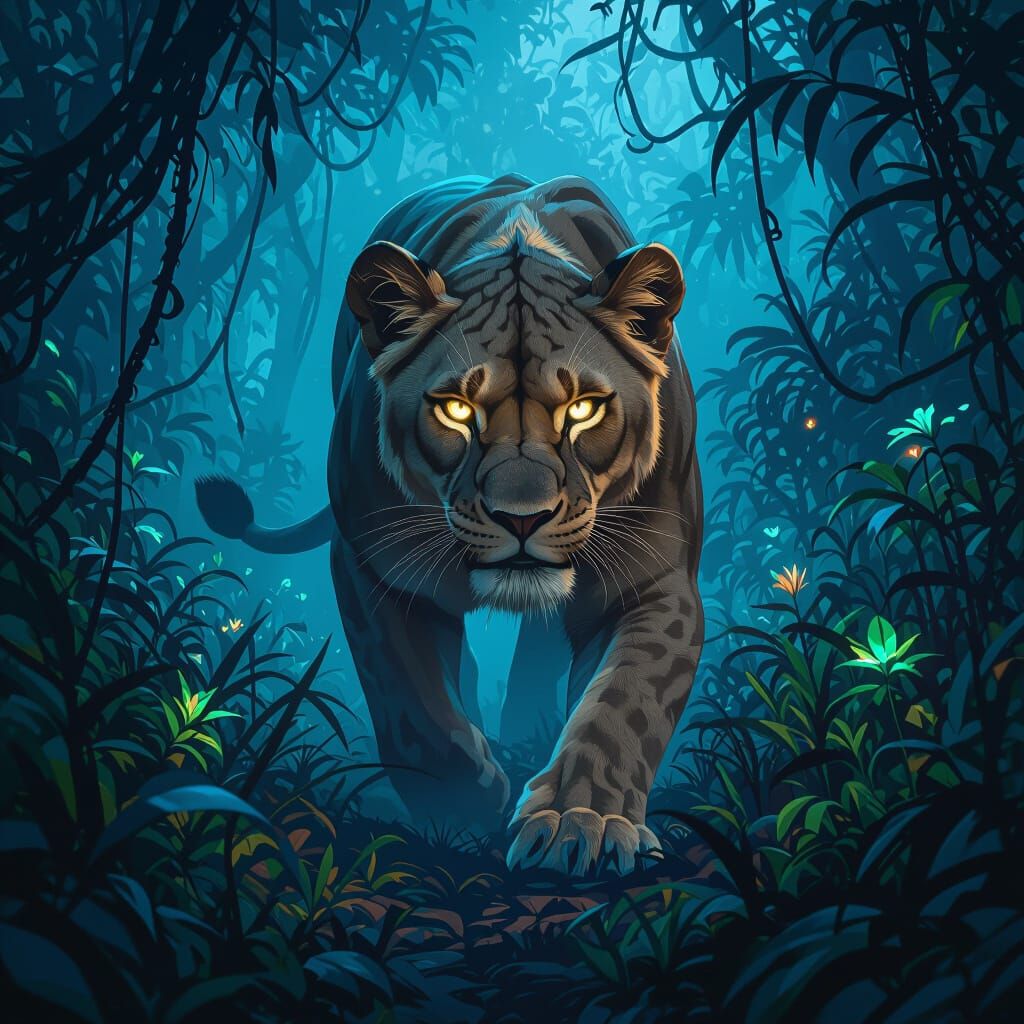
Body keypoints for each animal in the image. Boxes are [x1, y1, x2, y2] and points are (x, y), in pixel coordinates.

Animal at [196, 174, 704, 875]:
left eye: (583, 409)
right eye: (457, 410)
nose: (524, 518)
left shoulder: (656, 578)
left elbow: (624, 703)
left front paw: (583, 825)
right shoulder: (375, 565)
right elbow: (412, 707)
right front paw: (465, 804)